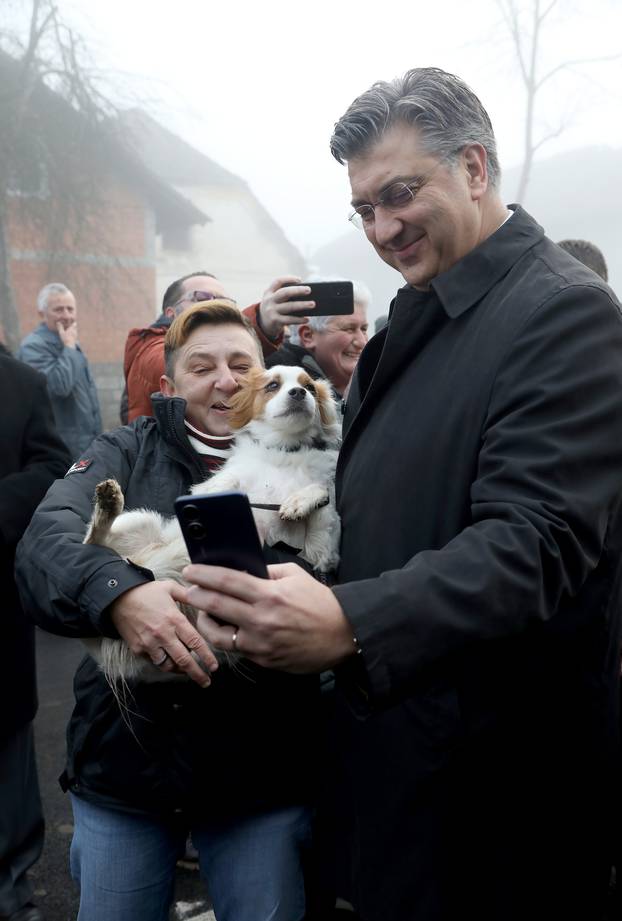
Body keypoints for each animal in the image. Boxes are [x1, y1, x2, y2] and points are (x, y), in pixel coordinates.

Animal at [81, 364, 342, 684]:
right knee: (92, 541)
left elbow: (322, 495)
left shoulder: (320, 557)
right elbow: (219, 485)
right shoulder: (224, 484)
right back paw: (108, 503)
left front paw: (299, 501)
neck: (284, 450)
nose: (299, 393)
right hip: (139, 521)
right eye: (272, 385)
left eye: (311, 388)